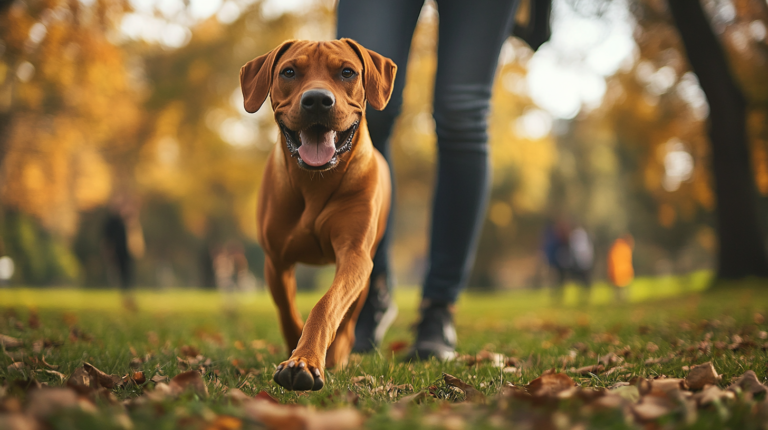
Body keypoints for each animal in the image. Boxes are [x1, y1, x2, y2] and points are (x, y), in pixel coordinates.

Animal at [240, 39, 396, 390]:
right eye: (288, 72)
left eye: (348, 72)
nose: (317, 100)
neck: (315, 182)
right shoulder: (277, 259)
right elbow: (286, 309)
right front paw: (296, 349)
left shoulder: (355, 256)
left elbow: (327, 304)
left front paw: (308, 360)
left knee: (350, 315)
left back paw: (339, 352)